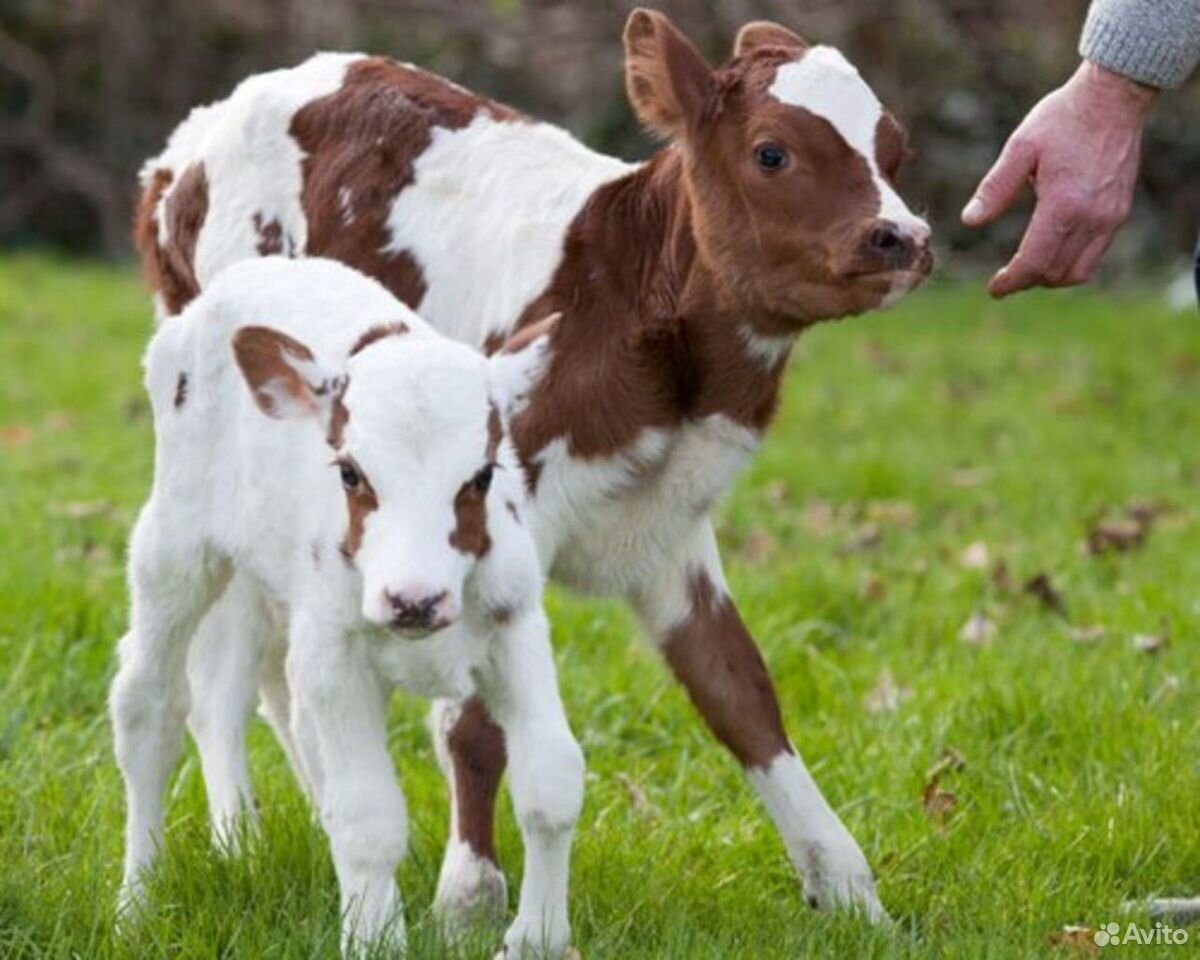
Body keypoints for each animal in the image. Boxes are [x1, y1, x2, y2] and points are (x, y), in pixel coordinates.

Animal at [111, 256, 580, 960]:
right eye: (351, 473)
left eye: (482, 477)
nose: (414, 600)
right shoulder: (336, 657)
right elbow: (368, 817)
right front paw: (374, 939)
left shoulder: (516, 625)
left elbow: (552, 783)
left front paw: (538, 939)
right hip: (176, 541)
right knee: (151, 705)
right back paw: (137, 902)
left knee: (225, 695)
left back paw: (239, 847)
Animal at [136, 5, 931, 921]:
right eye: (773, 152)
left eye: (895, 147)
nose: (904, 238)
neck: (636, 306)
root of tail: (181, 150)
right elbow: (472, 721)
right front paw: (469, 890)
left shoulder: (667, 524)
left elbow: (739, 691)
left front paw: (849, 889)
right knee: (222, 667)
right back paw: (243, 839)